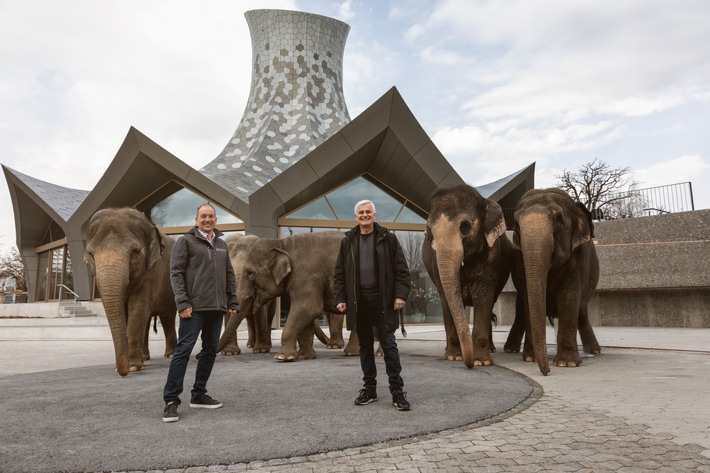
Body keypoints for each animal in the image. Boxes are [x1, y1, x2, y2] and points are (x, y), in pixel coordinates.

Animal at [84, 207, 178, 376]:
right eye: (91, 255)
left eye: (135, 252)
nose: (122, 371)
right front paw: (132, 365)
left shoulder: (152, 271)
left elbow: (138, 307)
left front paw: (133, 367)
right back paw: (145, 358)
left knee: (167, 316)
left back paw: (170, 354)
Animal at [217, 230, 356, 360]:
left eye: (250, 273)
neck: (282, 244)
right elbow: (308, 313)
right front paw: (304, 357)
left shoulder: (306, 275)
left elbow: (309, 308)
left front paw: (282, 357)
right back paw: (351, 352)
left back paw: (342, 350)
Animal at [426, 183, 516, 366]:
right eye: (429, 230)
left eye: (465, 226)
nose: (468, 364)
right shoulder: (435, 259)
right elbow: (446, 298)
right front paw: (453, 357)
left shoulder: (492, 255)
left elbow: (484, 296)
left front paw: (481, 362)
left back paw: (491, 349)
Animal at [508, 188, 604, 376]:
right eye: (516, 223)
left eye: (558, 218)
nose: (546, 372)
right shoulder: (519, 260)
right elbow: (528, 298)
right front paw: (530, 359)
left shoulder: (577, 260)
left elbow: (569, 298)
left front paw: (567, 364)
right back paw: (510, 349)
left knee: (581, 311)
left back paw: (595, 351)